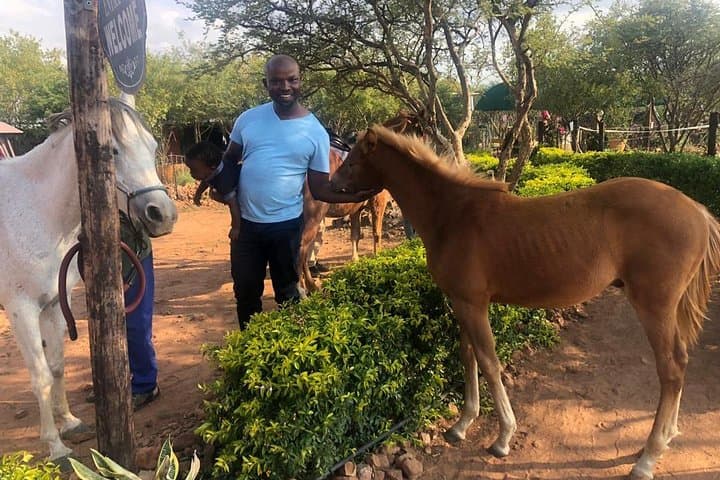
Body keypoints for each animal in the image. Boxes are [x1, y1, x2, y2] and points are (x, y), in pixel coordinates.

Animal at [0, 97, 178, 461]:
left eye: (153, 146)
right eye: (112, 152)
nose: (163, 215)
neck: (36, 212)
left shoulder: (54, 303)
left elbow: (56, 365)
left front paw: (69, 422)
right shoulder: (21, 310)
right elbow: (40, 375)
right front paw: (55, 446)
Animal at [298, 111, 424, 293]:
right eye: (419, 132)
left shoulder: (356, 209)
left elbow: (355, 235)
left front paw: (356, 260)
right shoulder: (379, 201)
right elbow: (376, 233)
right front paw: (378, 257)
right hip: (313, 215)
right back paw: (307, 286)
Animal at [330, 124, 720, 480]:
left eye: (353, 160)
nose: (332, 185)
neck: (453, 214)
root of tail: (697, 211)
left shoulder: (473, 304)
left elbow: (489, 362)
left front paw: (503, 436)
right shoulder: (461, 302)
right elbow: (468, 356)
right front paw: (463, 423)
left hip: (655, 307)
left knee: (671, 369)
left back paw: (648, 457)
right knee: (679, 363)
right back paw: (666, 437)